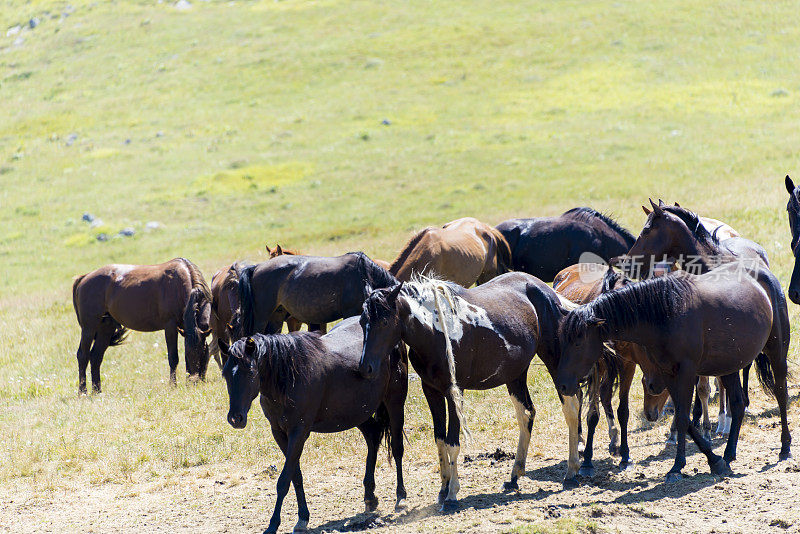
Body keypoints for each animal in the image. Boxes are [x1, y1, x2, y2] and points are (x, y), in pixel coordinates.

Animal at [72, 260, 212, 394]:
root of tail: (84, 277)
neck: (178, 285)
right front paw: (173, 386)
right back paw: (82, 391)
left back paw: (97, 391)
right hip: (89, 328)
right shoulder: (170, 327)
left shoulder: (186, 330)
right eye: (189, 354)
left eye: (204, 352)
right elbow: (173, 358)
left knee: (96, 356)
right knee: (83, 355)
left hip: (106, 328)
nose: (194, 381)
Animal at [360, 274, 596, 508]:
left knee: (571, 409)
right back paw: (514, 476)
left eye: (384, 322)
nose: (365, 367)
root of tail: (548, 292)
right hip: (516, 375)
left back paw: (571, 471)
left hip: (556, 365)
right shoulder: (432, 391)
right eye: (362, 322)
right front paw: (443, 489)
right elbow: (440, 440)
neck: (435, 331)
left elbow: (452, 443)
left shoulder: (454, 392)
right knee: (527, 414)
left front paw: (452, 495)